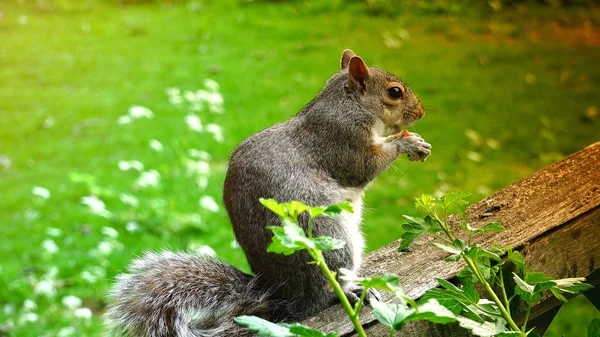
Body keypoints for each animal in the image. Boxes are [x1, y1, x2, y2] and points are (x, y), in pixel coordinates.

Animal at [104, 49, 432, 336]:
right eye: (394, 92)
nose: (421, 111)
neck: (347, 103)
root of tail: (288, 299)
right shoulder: (342, 140)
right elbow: (364, 166)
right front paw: (409, 142)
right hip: (329, 237)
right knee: (331, 286)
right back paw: (352, 290)